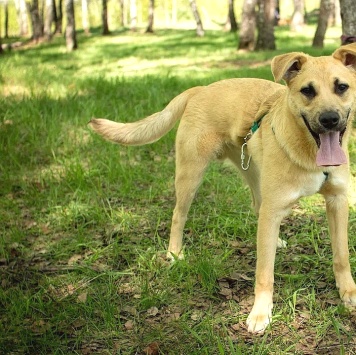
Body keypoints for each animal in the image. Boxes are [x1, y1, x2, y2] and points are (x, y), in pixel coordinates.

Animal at [88, 43, 356, 334]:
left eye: (341, 87)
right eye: (307, 91)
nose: (329, 119)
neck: (309, 155)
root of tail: (200, 89)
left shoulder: (337, 201)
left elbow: (341, 256)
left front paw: (348, 292)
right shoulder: (275, 209)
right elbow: (264, 272)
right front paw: (260, 312)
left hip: (252, 172)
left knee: (257, 208)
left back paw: (275, 240)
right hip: (191, 174)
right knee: (178, 215)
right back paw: (174, 253)